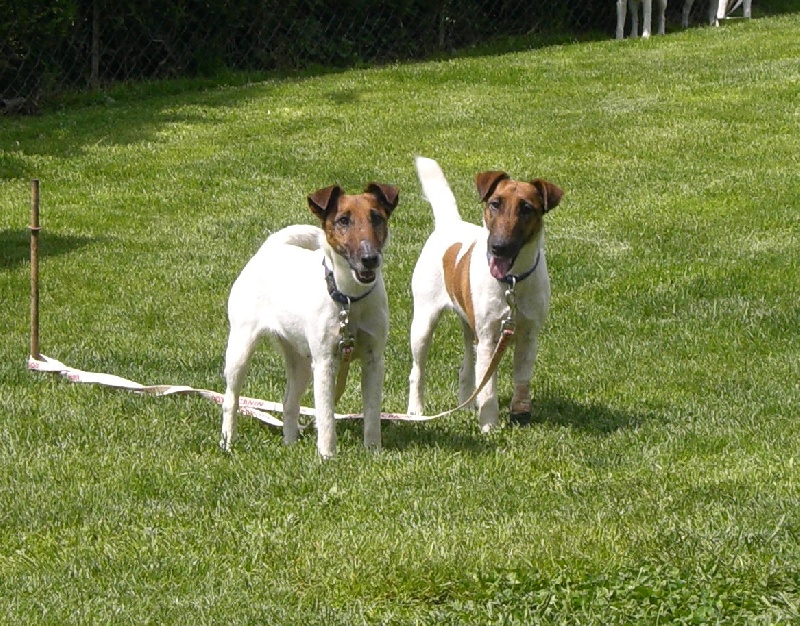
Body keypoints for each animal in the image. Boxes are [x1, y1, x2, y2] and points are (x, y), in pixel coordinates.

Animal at [221, 182, 399, 458]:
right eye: (343, 220)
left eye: (377, 218)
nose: (370, 259)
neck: (349, 299)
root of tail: (271, 247)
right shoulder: (325, 362)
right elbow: (326, 416)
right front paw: (327, 456)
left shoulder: (374, 360)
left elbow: (371, 413)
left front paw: (373, 452)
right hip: (241, 346)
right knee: (231, 398)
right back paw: (228, 441)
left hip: (301, 360)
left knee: (288, 402)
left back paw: (290, 443)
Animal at [407, 157, 563, 431]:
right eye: (495, 204)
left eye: (526, 208)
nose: (498, 247)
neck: (512, 281)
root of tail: (449, 223)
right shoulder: (489, 339)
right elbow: (488, 388)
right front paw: (489, 427)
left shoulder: (529, 336)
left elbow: (521, 380)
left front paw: (520, 416)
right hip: (424, 322)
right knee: (418, 370)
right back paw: (416, 410)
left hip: (470, 325)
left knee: (467, 367)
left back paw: (466, 405)